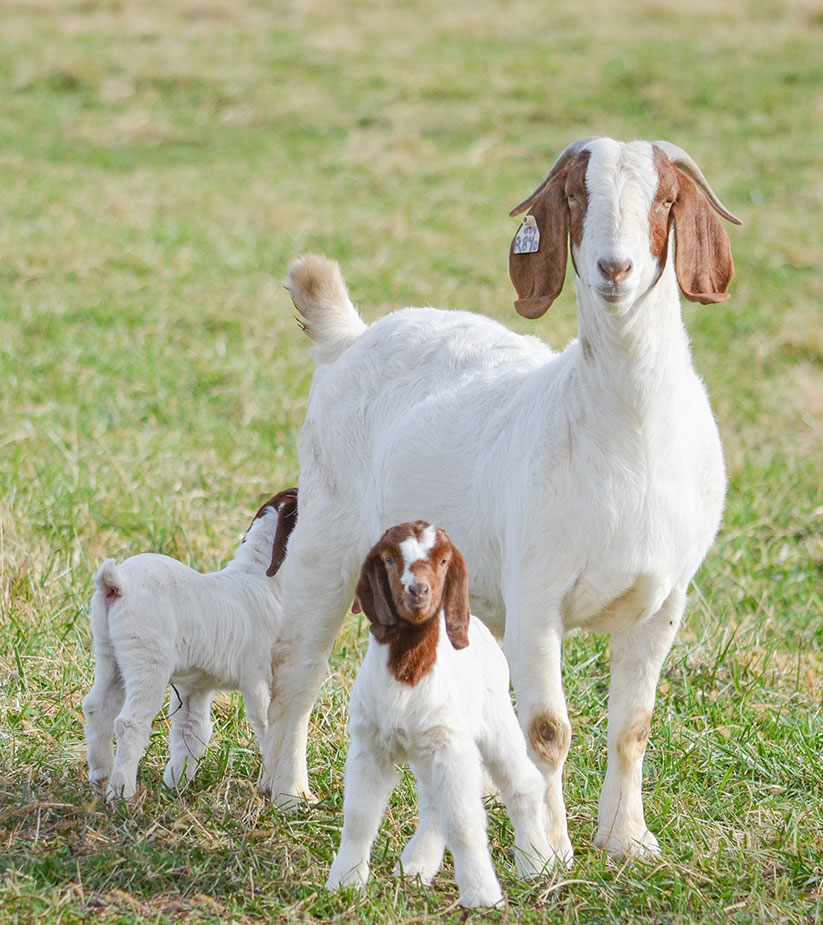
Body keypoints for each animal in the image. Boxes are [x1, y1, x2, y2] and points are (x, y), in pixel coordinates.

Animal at [82, 488, 297, 801]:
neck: (259, 578)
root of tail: (117, 582)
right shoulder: (257, 678)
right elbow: (267, 726)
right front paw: (269, 786)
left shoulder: (195, 685)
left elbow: (192, 731)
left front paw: (175, 784)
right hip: (148, 660)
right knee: (129, 722)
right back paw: (122, 792)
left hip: (110, 654)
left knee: (97, 708)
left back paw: (100, 776)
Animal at [262, 137, 739, 864]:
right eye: (575, 196)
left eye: (665, 200)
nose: (614, 267)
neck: (626, 434)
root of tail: (352, 335)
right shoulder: (536, 598)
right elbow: (547, 730)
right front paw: (550, 853)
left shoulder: (663, 601)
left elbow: (632, 725)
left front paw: (627, 840)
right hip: (326, 536)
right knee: (297, 663)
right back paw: (288, 791)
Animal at [326, 521, 552, 908]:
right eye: (389, 559)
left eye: (444, 561)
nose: (418, 591)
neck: (407, 671)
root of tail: (478, 625)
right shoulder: (369, 745)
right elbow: (358, 817)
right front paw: (344, 881)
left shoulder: (451, 746)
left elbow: (463, 822)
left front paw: (482, 896)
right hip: (429, 749)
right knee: (435, 803)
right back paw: (416, 866)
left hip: (493, 721)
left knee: (522, 783)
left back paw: (538, 863)